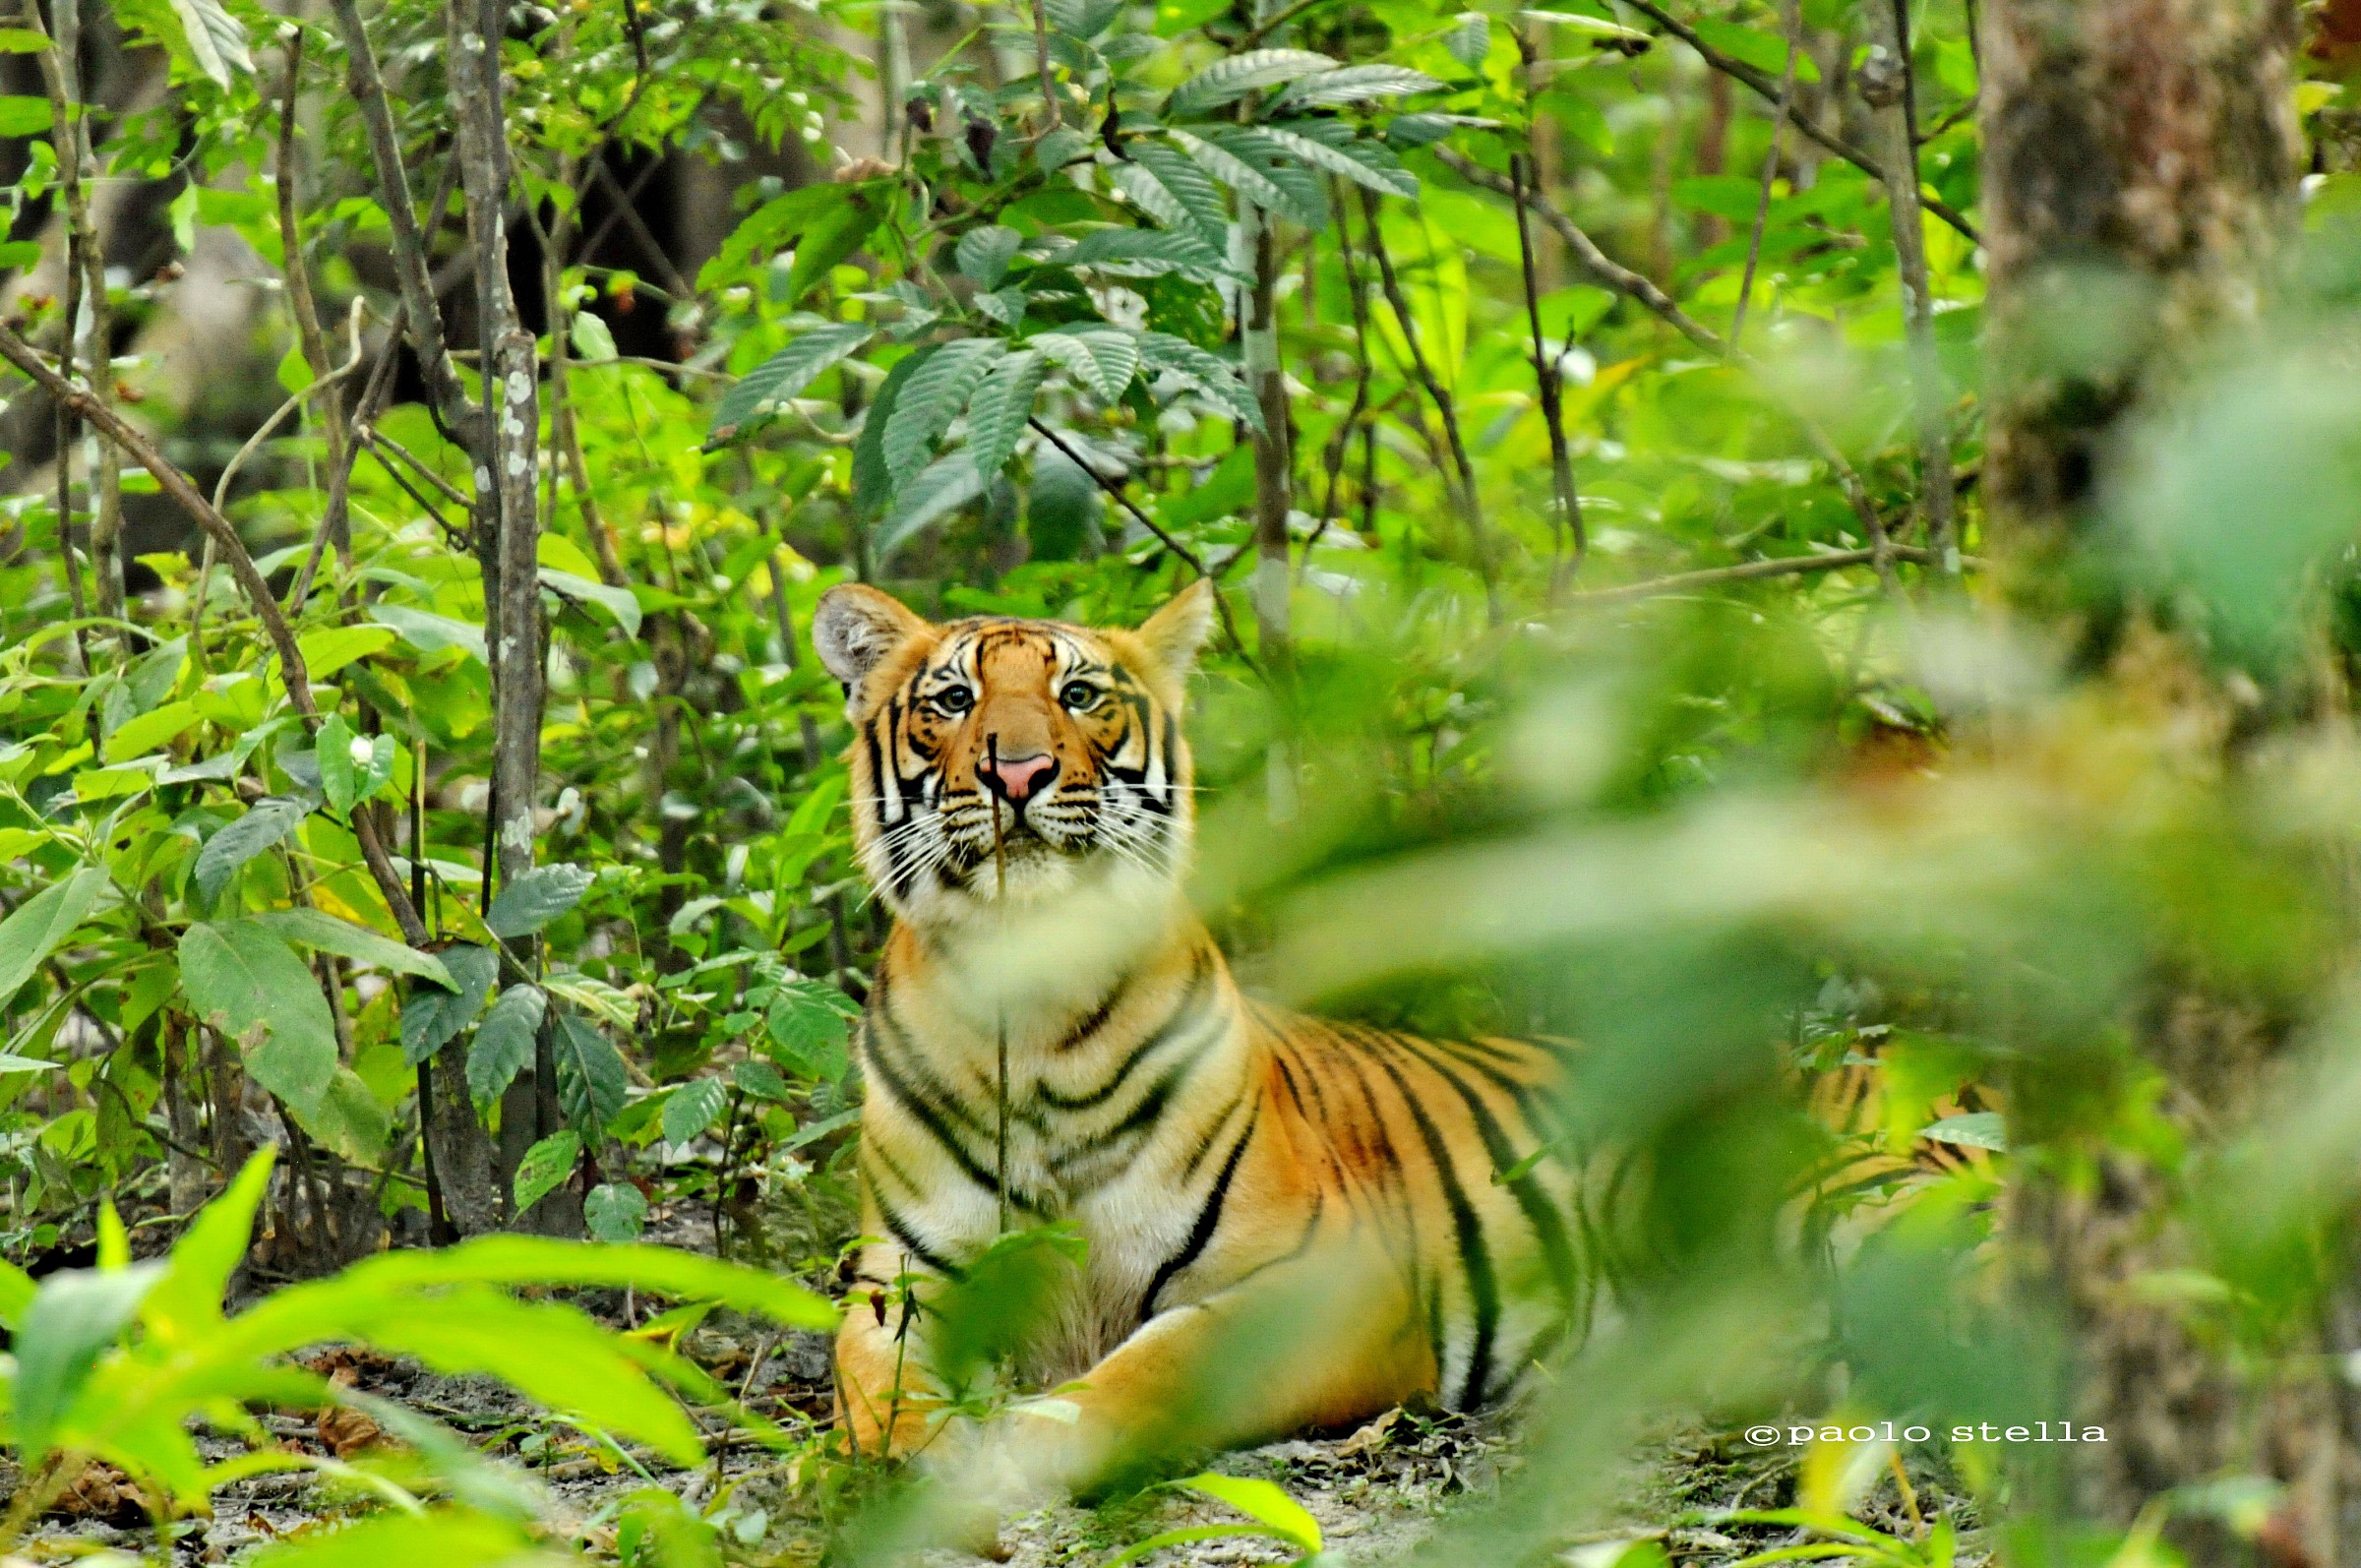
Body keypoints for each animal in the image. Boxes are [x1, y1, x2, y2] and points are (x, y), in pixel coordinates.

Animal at [810, 579, 1607, 1499]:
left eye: (1077, 694)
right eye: (953, 700)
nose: (1017, 772)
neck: (1036, 1005)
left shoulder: (1335, 1277)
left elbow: (1158, 1365)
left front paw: (1025, 1444)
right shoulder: (907, 1278)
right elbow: (874, 1382)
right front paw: (900, 1465)